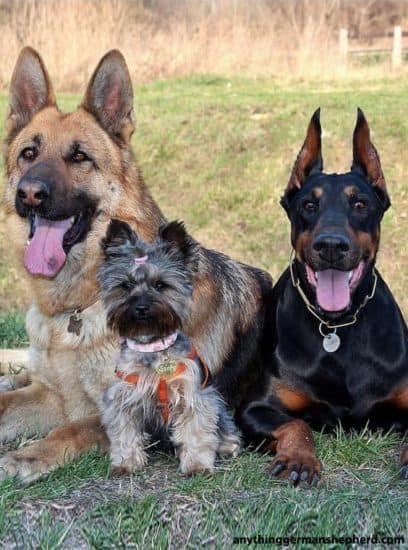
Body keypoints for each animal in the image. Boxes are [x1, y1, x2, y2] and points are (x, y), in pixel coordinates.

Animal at [237, 109, 408, 488]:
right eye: (308, 204)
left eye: (360, 203)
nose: (331, 245)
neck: (338, 326)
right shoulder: (253, 408)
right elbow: (296, 423)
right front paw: (300, 459)